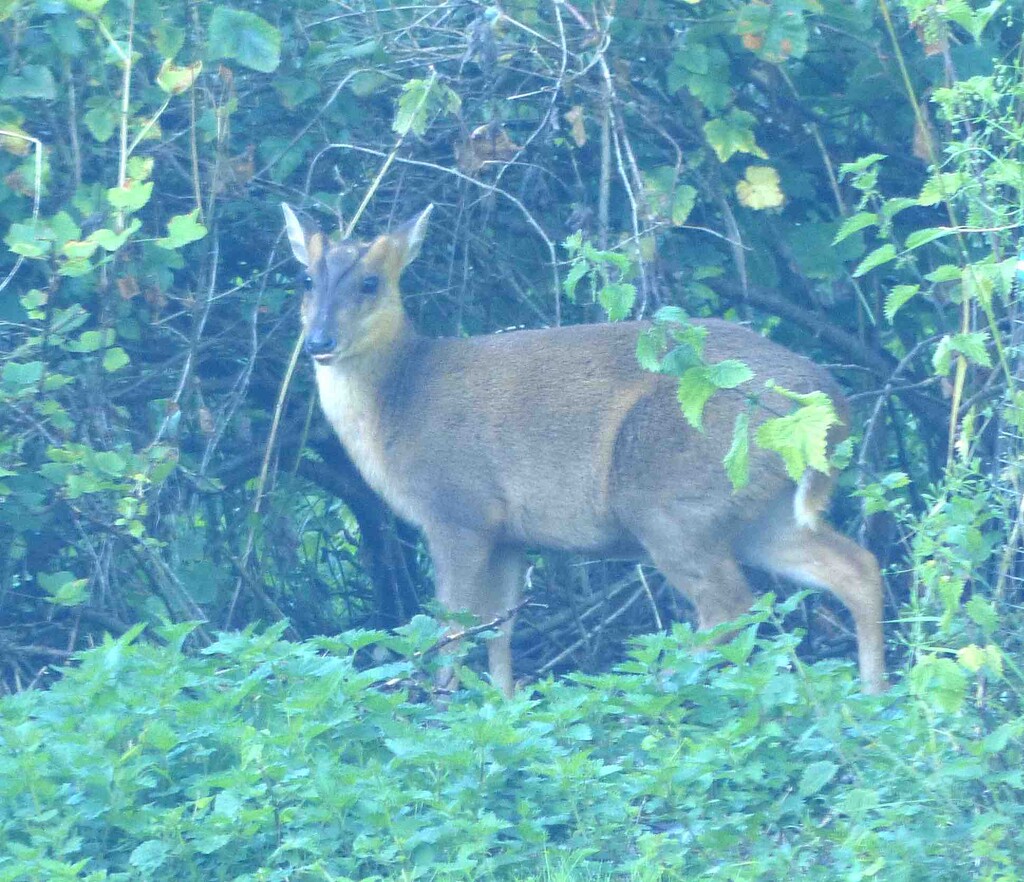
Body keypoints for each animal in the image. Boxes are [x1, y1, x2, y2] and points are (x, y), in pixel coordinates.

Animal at [282, 204, 888, 696]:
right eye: (306, 278)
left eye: (369, 282)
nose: (317, 342)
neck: (398, 405)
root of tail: (827, 405)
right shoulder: (509, 533)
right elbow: (500, 629)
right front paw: (503, 708)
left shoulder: (458, 508)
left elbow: (453, 626)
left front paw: (438, 705)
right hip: (759, 511)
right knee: (856, 566)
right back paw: (872, 696)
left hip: (671, 497)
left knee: (729, 606)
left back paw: (649, 690)